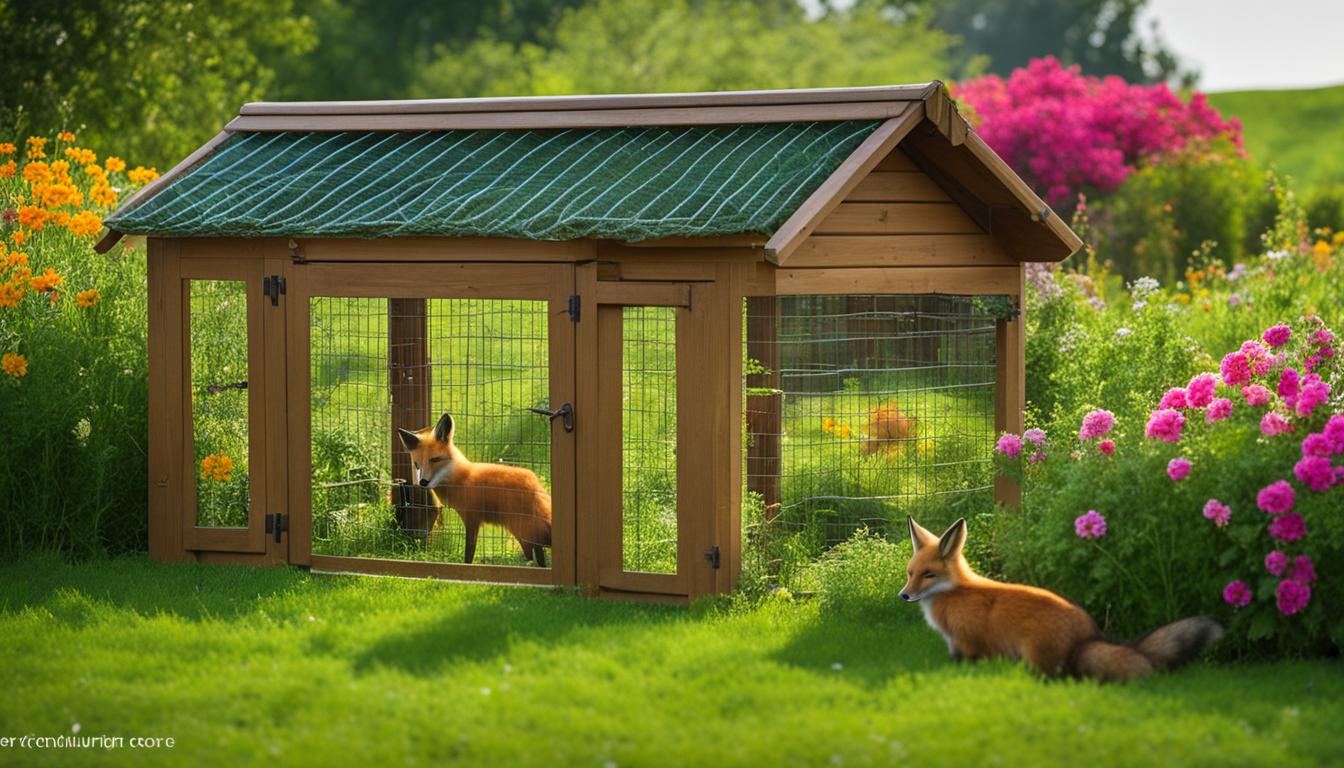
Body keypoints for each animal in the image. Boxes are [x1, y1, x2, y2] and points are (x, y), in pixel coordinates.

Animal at [397, 413, 552, 567]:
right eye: (417, 465)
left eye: (435, 459)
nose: (423, 482)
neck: (461, 478)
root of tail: (538, 486)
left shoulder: (472, 519)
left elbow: (469, 553)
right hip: (524, 535)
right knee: (538, 557)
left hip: (528, 532)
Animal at [900, 516, 1222, 681]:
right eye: (910, 573)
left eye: (928, 575)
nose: (904, 595)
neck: (953, 593)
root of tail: (1088, 637)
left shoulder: (965, 643)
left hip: (1035, 658)